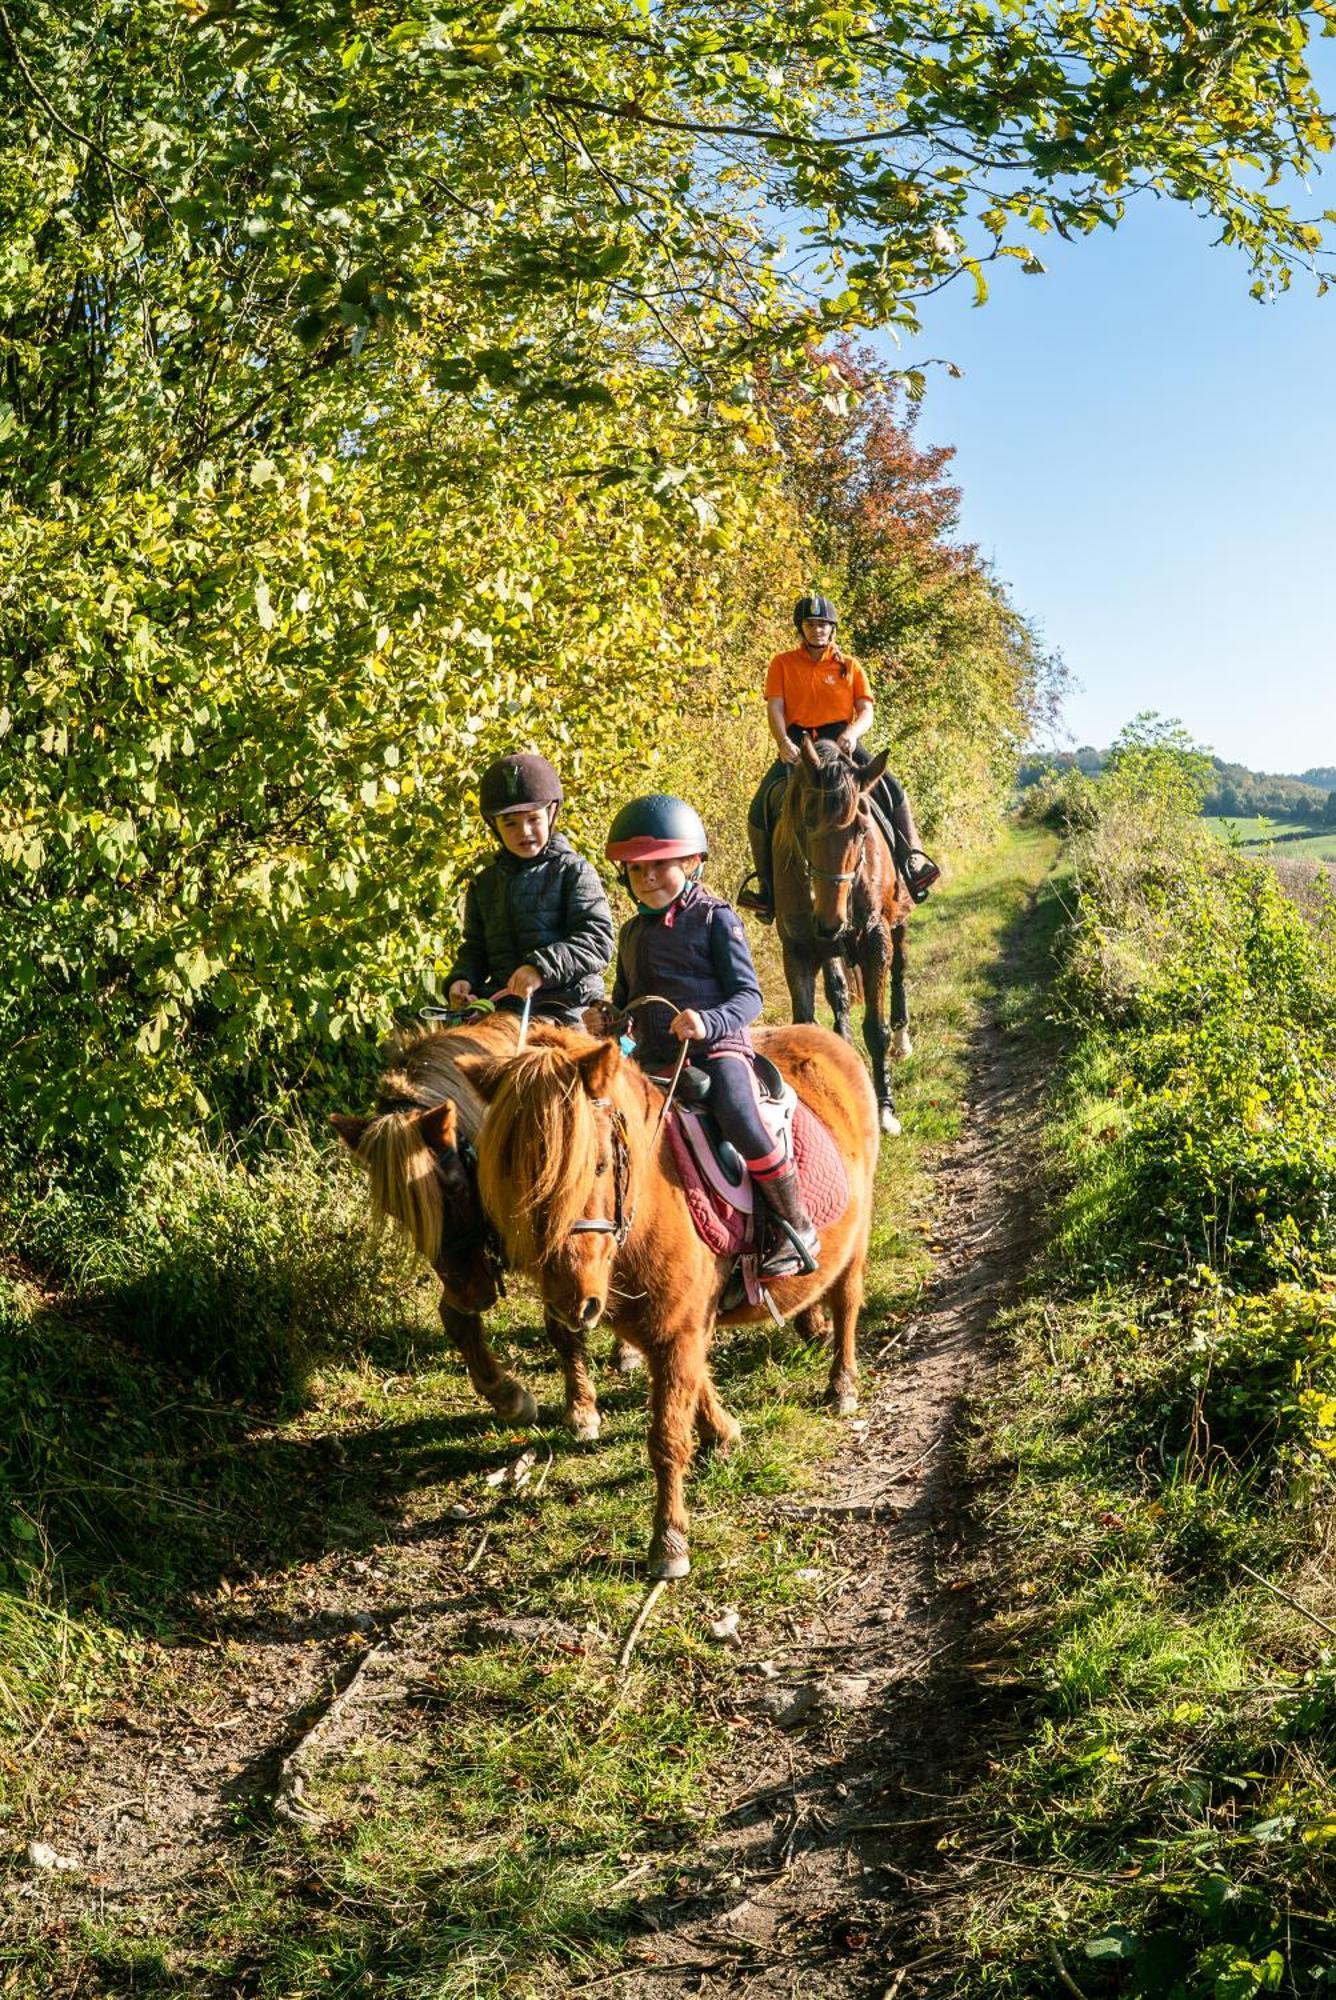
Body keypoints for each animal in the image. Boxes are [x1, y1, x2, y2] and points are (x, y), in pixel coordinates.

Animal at [334, 1016, 628, 1440]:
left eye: (455, 1187)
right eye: (397, 1210)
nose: (472, 1296)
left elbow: (564, 1324)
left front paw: (581, 1409)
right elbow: (454, 1319)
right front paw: (509, 1397)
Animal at [460, 1032, 876, 1576]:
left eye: (598, 1165)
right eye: (510, 1181)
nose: (573, 1303)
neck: (652, 1208)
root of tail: (826, 1038)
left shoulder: (677, 1331)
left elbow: (667, 1438)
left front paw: (670, 1542)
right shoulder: (673, 1327)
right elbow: (696, 1384)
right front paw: (724, 1434)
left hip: (857, 1237)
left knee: (847, 1303)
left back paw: (842, 1384)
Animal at [772, 740, 920, 1144]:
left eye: (860, 829)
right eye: (806, 823)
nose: (830, 922)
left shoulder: (875, 943)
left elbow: (876, 1029)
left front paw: (885, 1111)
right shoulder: (798, 950)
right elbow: (806, 1026)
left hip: (898, 924)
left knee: (900, 973)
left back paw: (902, 1040)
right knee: (838, 992)